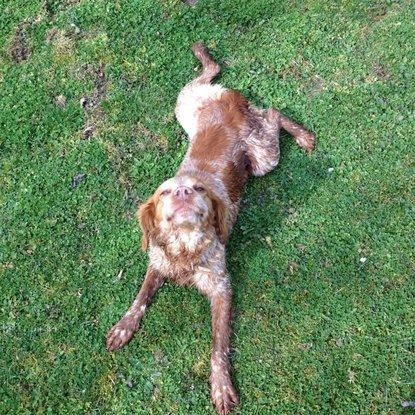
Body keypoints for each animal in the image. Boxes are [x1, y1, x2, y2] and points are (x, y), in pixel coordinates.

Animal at [107, 42, 316, 415]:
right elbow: (139, 299)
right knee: (213, 75)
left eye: (199, 188)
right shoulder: (157, 263)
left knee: (273, 112)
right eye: (164, 192)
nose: (182, 192)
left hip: (263, 156)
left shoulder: (221, 287)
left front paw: (221, 385)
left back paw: (304, 136)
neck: (185, 246)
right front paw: (123, 327)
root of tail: (230, 103)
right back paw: (203, 54)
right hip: (185, 105)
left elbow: (218, 345)